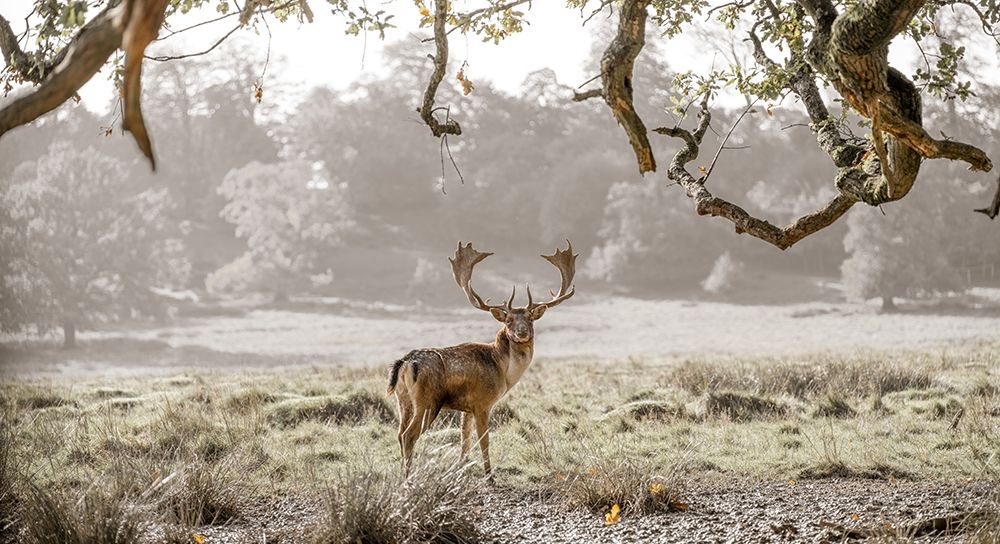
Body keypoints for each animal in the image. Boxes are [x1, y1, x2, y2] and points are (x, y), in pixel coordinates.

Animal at [387, 240, 577, 477]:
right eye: (509, 320)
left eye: (531, 319)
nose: (522, 331)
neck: (503, 372)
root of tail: (405, 363)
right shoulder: (482, 402)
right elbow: (484, 440)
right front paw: (489, 475)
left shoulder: (466, 408)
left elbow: (465, 439)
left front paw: (460, 469)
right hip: (428, 400)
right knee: (408, 435)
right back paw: (408, 477)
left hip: (403, 399)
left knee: (399, 433)